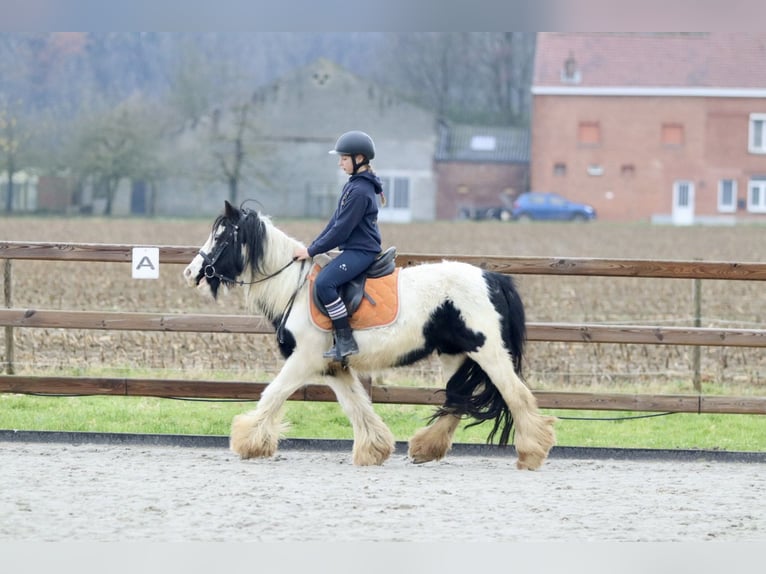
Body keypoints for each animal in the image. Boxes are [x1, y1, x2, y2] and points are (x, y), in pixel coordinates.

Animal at [186, 200, 560, 470]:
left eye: (220, 237)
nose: (191, 272)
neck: (294, 287)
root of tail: (492, 277)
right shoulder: (332, 367)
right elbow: (356, 405)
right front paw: (375, 448)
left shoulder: (303, 359)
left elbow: (273, 394)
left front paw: (248, 441)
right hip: (454, 355)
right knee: (457, 398)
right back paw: (425, 448)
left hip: (490, 352)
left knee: (516, 396)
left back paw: (532, 453)